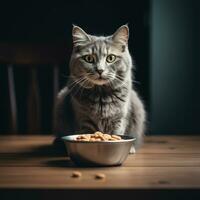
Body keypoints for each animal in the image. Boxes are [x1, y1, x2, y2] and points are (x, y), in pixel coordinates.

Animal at [54, 24, 145, 153]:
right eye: (88, 58)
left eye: (111, 58)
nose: (100, 70)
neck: (101, 95)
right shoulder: (83, 118)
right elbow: (87, 133)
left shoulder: (119, 119)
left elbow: (117, 133)